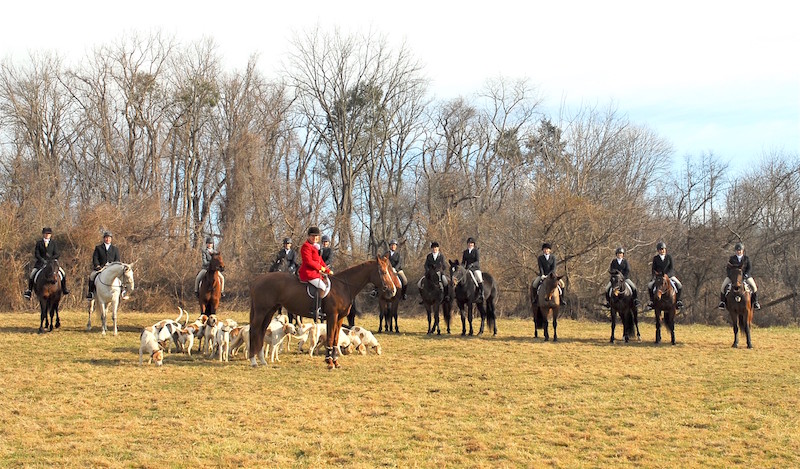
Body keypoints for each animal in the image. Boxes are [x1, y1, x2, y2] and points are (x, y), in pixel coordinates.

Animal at [250, 254, 396, 368]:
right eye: (384, 272)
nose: (393, 290)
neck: (343, 286)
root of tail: (258, 279)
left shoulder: (340, 318)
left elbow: (336, 339)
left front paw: (335, 361)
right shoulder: (332, 316)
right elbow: (331, 338)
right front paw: (329, 362)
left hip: (270, 311)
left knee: (262, 331)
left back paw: (262, 360)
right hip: (261, 310)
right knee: (255, 330)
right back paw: (253, 360)